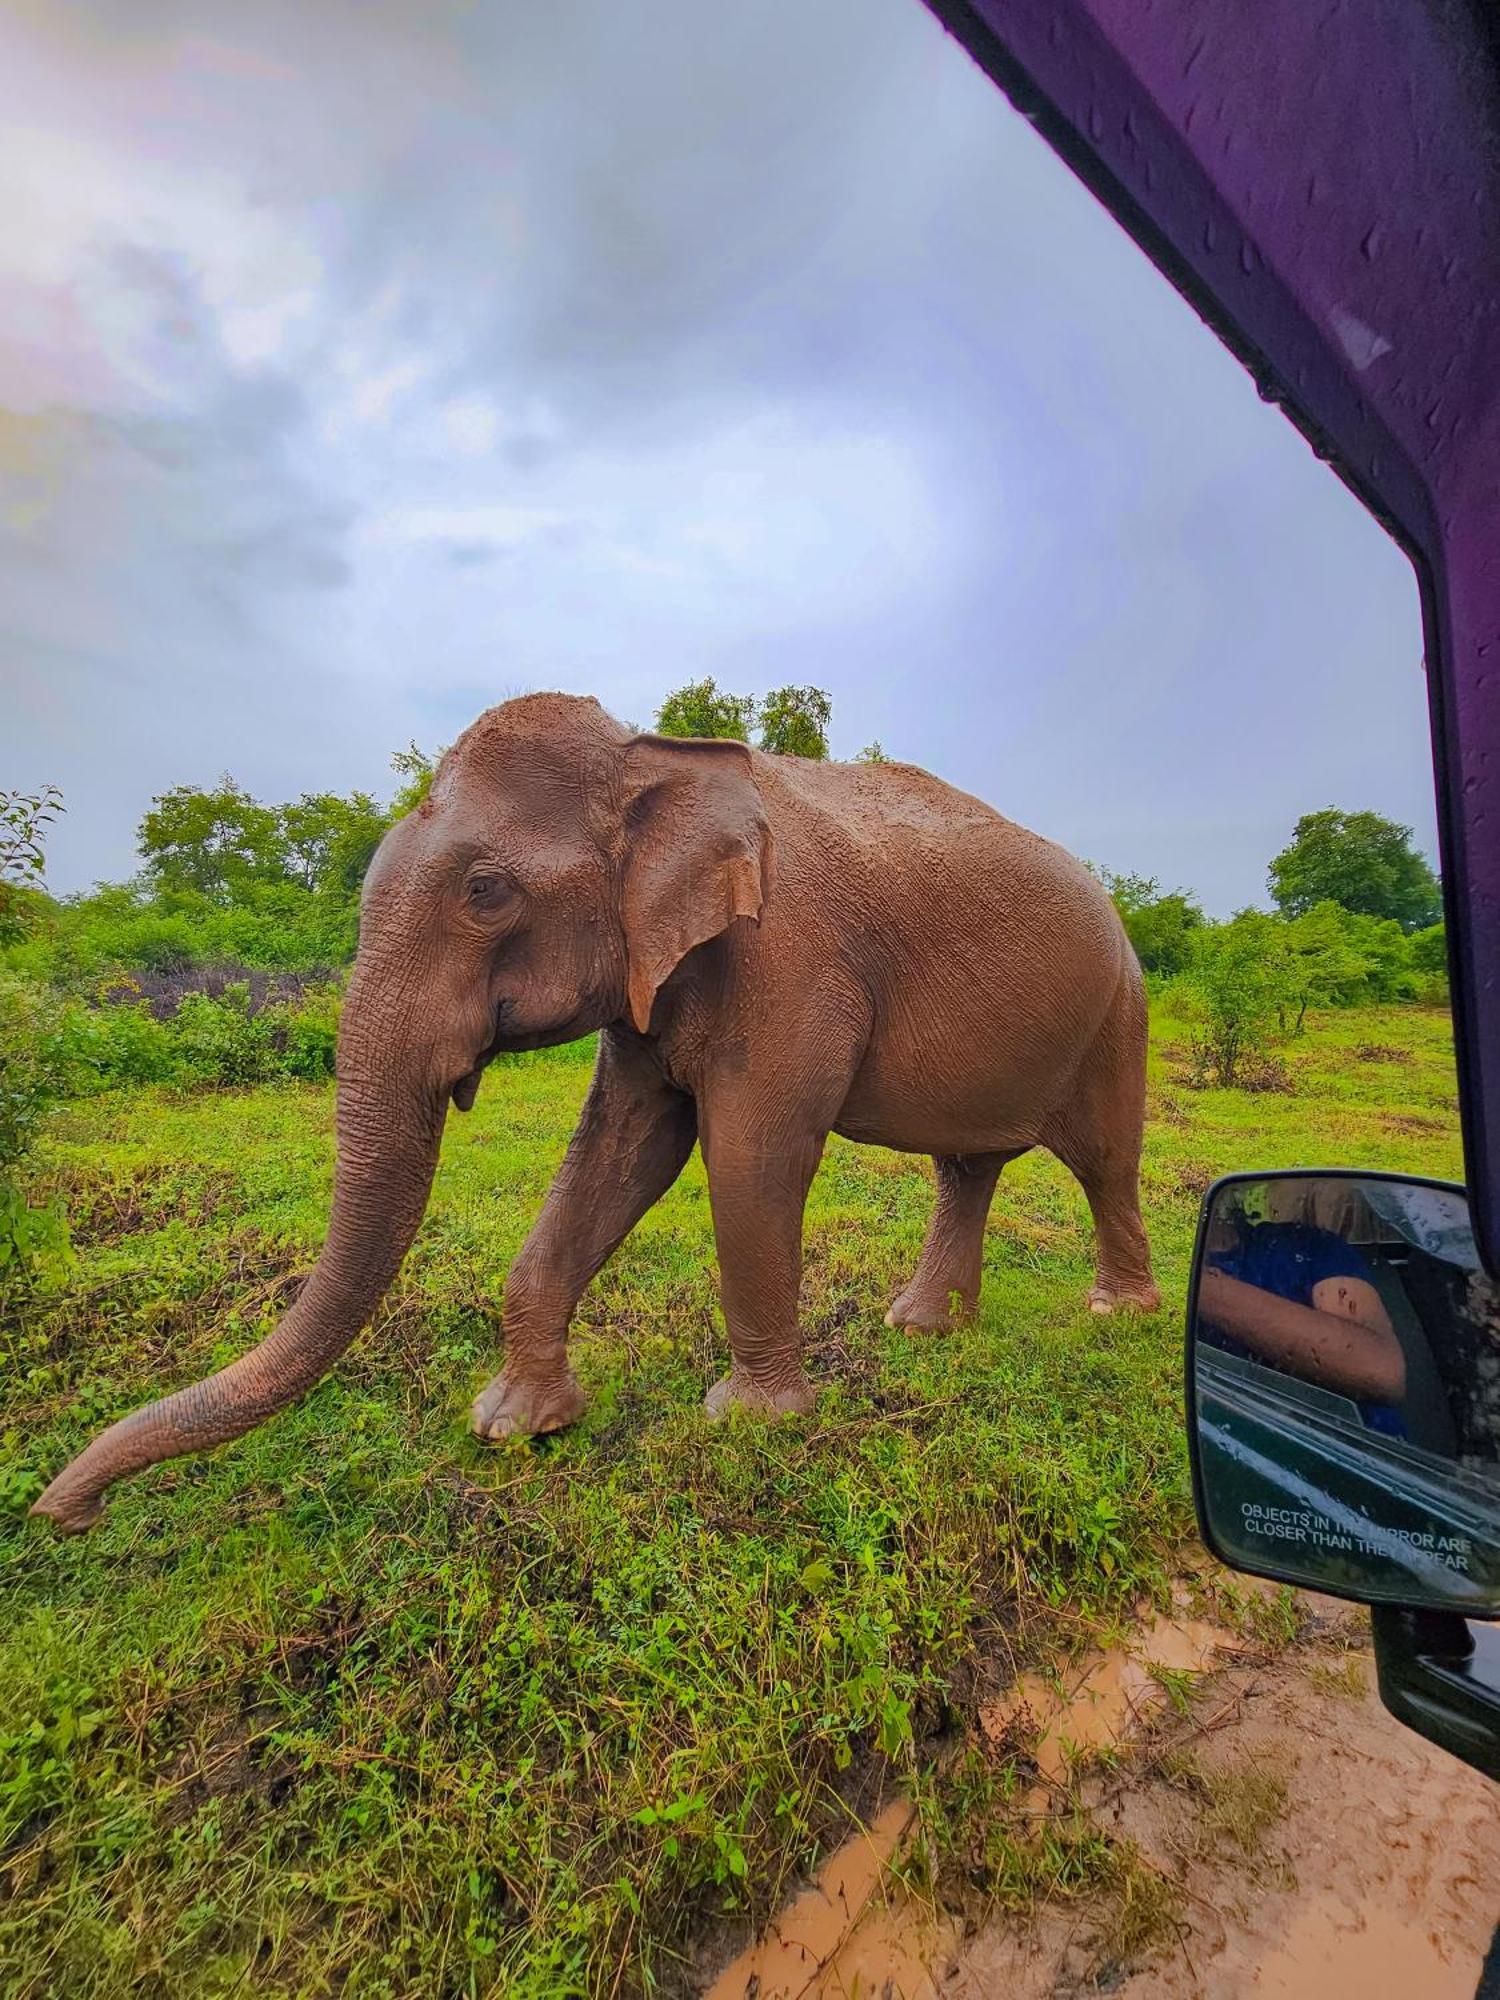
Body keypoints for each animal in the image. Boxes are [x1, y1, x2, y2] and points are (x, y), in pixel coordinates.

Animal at [32, 688, 1160, 1528]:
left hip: (1120, 1009)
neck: (647, 755)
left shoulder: (788, 959)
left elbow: (750, 1154)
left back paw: (1118, 1314)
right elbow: (626, 1147)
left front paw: (750, 1424)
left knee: (1104, 1159)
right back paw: (923, 1330)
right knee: (968, 1165)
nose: (64, 1514)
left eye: (485, 892)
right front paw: (515, 1426)